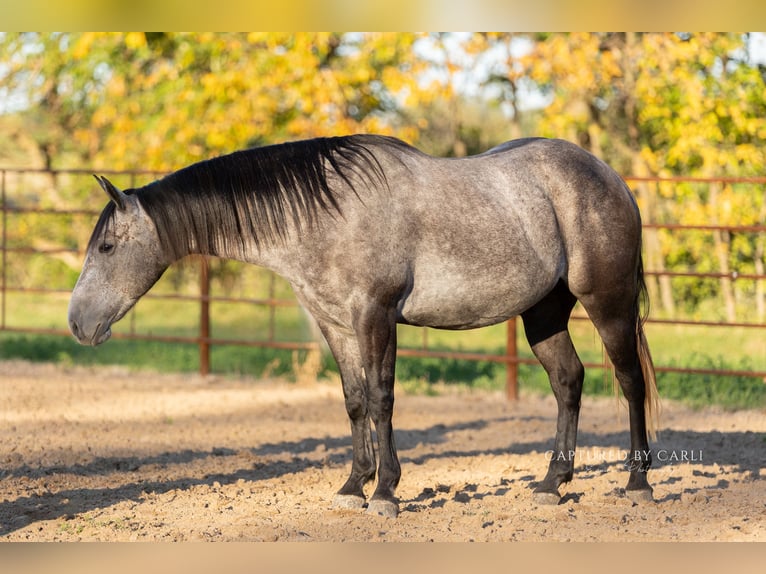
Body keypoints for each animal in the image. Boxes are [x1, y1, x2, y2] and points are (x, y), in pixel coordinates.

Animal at [69, 134, 664, 516]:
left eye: (106, 246)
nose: (77, 324)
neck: (325, 215)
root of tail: (612, 178)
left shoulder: (375, 316)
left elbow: (382, 397)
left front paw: (386, 494)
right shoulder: (335, 324)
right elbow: (355, 401)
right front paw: (353, 486)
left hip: (607, 303)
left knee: (630, 381)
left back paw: (638, 482)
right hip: (543, 313)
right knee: (568, 381)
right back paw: (551, 484)